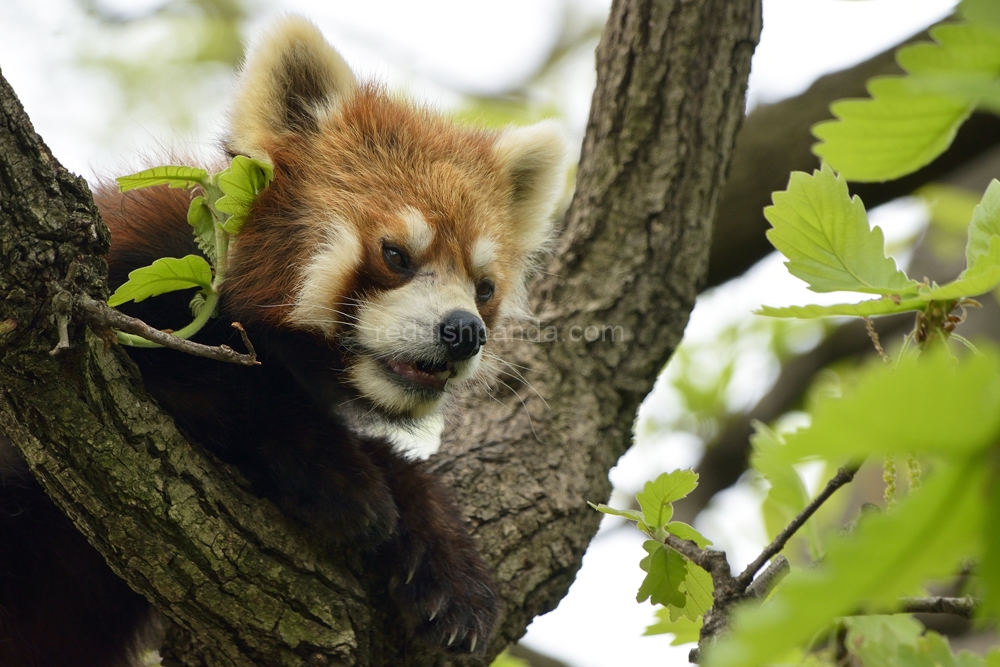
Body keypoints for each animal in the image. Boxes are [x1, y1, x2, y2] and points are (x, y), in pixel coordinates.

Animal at [0, 15, 568, 667]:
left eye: (484, 288)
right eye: (395, 255)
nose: (463, 331)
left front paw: (442, 550)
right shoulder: (125, 273)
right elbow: (224, 385)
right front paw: (341, 478)